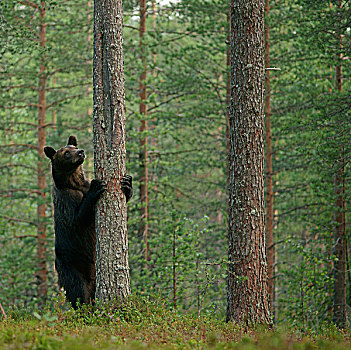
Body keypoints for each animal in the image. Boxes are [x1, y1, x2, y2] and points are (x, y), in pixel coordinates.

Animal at [44, 135, 132, 308]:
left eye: (73, 146)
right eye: (66, 152)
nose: (80, 151)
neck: (74, 183)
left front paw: (127, 183)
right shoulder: (66, 201)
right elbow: (78, 219)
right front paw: (96, 186)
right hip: (70, 265)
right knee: (78, 292)